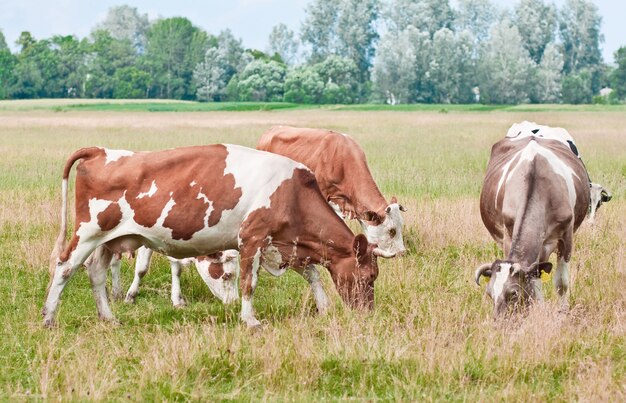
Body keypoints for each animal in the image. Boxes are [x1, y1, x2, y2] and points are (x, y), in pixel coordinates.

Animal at [106, 248, 238, 308]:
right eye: (227, 275)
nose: (234, 302)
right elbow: (142, 268)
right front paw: (131, 297)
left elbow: (177, 270)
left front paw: (177, 301)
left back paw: (116, 293)